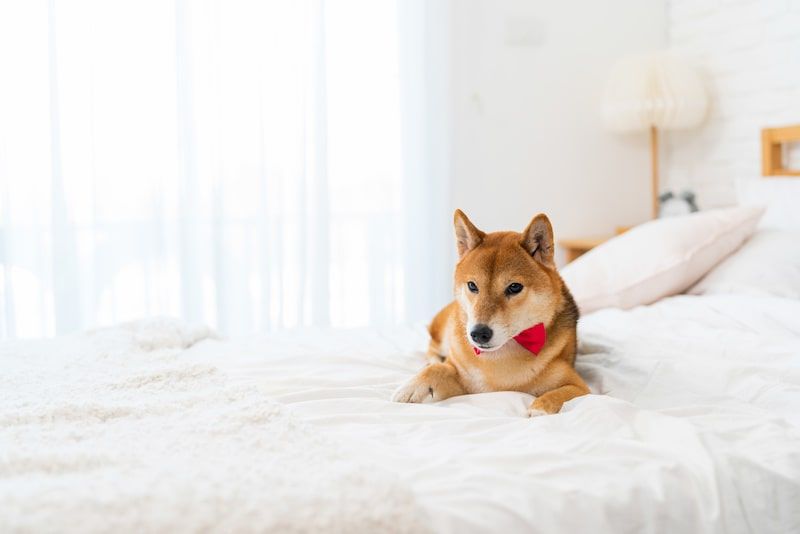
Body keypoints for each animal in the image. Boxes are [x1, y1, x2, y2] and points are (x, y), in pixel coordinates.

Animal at [392, 210, 588, 418]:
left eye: (514, 287)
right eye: (472, 285)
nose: (478, 333)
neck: (499, 359)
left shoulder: (579, 386)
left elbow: (559, 394)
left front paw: (539, 409)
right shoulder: (464, 378)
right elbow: (439, 369)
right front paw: (411, 386)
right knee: (432, 348)